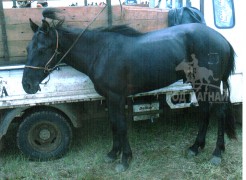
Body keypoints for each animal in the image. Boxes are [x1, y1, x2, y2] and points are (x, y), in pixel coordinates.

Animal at [22, 8, 235, 173]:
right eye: (27, 48)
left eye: (42, 49)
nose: (27, 85)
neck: (100, 52)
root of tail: (222, 39)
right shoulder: (109, 98)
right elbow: (113, 123)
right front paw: (113, 153)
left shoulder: (117, 97)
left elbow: (121, 125)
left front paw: (124, 159)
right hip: (198, 84)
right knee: (204, 111)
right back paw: (196, 147)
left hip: (212, 85)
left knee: (220, 112)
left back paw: (217, 152)